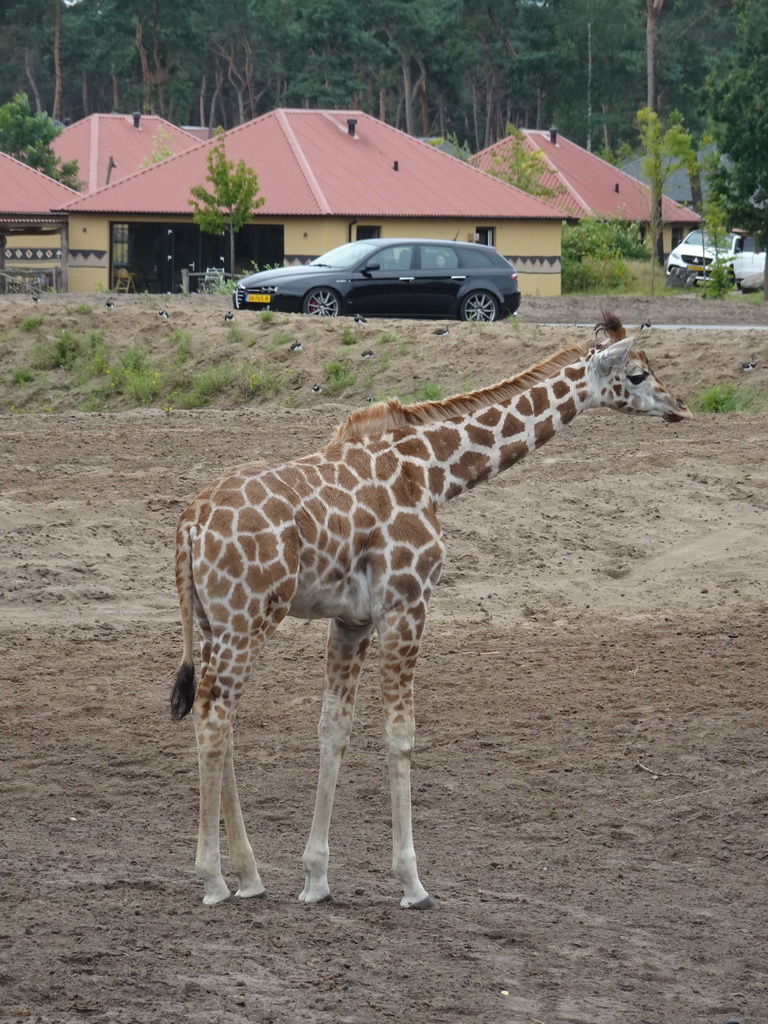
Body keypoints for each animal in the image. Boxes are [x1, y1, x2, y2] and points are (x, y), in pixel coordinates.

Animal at [173, 309, 692, 905]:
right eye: (636, 375)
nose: (680, 407)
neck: (433, 474)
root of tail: (189, 524)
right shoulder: (407, 602)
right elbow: (401, 734)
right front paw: (412, 882)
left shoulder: (352, 619)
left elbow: (334, 729)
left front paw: (316, 879)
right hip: (245, 618)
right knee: (214, 717)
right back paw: (214, 879)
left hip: (214, 623)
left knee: (218, 717)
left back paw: (250, 876)